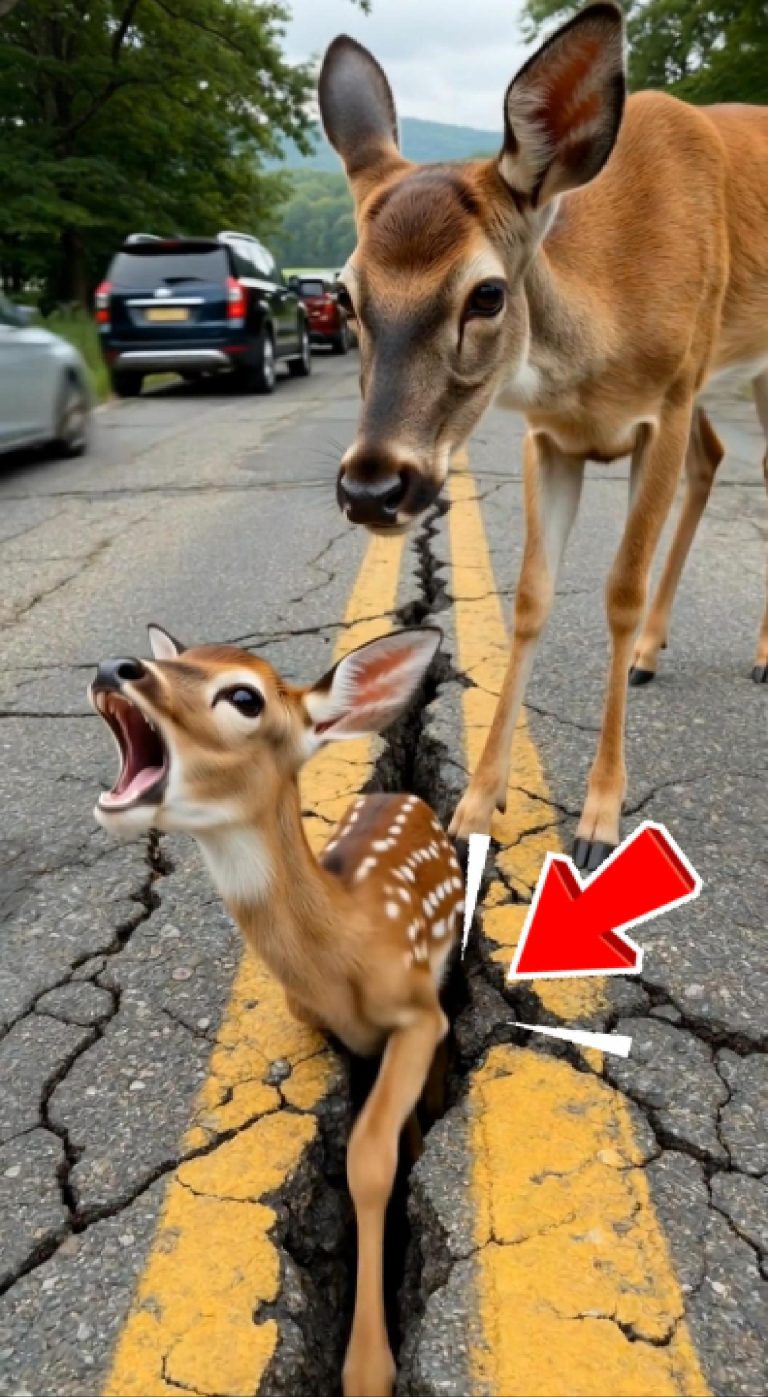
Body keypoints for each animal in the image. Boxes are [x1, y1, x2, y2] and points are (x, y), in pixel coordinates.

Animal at [89, 622, 463, 1397]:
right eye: (181, 655)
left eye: (244, 696)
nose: (115, 666)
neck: (346, 946)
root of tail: (406, 796)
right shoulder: (325, 1022)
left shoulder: (418, 1005)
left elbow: (369, 1153)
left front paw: (368, 1365)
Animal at [317, 1, 768, 873]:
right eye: (343, 297)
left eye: (487, 293)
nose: (372, 487)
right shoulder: (551, 436)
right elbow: (529, 595)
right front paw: (473, 807)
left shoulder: (666, 401)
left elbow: (619, 592)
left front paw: (598, 815)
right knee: (716, 459)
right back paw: (653, 652)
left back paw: (757, 653)